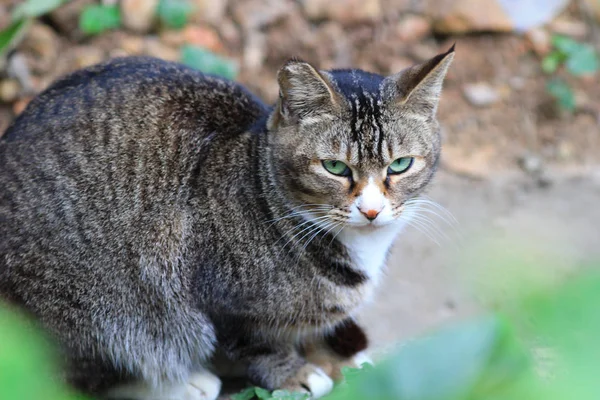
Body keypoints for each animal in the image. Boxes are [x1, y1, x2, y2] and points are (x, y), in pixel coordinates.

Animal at [0, 45, 450, 398]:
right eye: (335, 167)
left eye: (400, 165)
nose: (371, 210)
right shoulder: (213, 298)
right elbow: (257, 346)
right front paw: (296, 374)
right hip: (94, 310)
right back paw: (180, 383)